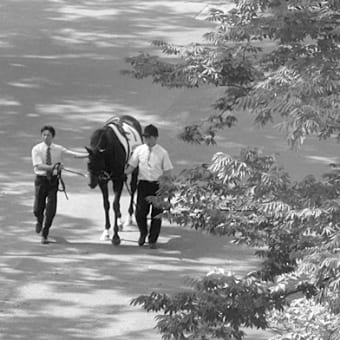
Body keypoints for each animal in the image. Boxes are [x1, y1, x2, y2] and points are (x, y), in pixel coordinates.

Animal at [86, 115, 143, 246]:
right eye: (88, 163)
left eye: (97, 163)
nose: (91, 183)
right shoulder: (103, 181)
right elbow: (106, 204)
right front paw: (106, 232)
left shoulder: (118, 180)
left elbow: (115, 205)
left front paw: (116, 237)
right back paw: (120, 220)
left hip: (135, 169)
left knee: (133, 188)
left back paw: (129, 218)